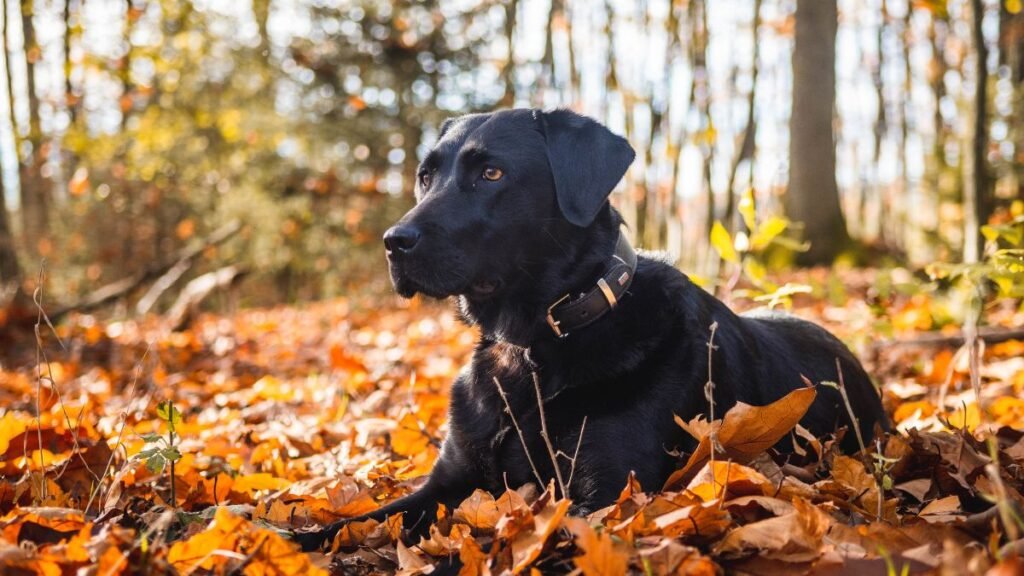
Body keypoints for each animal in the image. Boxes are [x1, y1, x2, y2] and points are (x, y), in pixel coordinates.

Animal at [294, 108, 880, 553]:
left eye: (492, 174)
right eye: (424, 175)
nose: (394, 242)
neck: (532, 347)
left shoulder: (601, 499)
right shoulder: (451, 480)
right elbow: (354, 522)